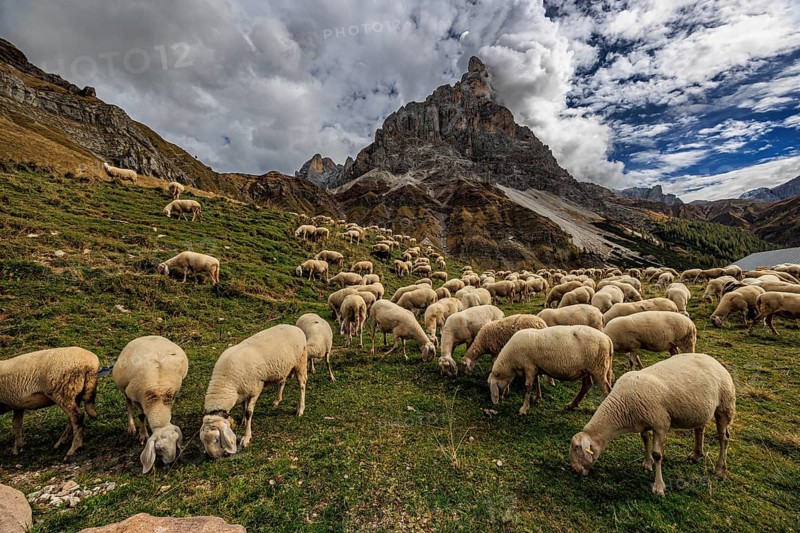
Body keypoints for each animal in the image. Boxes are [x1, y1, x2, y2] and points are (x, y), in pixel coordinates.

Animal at [112, 336, 188, 473]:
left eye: (175, 442)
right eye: (158, 449)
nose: (169, 462)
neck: (157, 399)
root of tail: (146, 337)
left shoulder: (173, 395)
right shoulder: (137, 398)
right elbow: (141, 416)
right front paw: (143, 435)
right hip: (125, 389)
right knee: (128, 405)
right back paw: (131, 427)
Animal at [200, 325, 307, 458]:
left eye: (216, 439)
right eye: (203, 441)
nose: (212, 457)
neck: (226, 382)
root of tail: (295, 327)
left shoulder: (255, 388)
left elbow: (248, 412)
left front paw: (246, 438)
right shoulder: (243, 390)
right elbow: (244, 406)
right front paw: (243, 421)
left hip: (300, 361)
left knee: (302, 385)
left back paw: (300, 409)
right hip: (283, 366)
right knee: (282, 381)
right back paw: (277, 400)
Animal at [569, 353, 735, 497]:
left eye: (577, 449)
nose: (575, 470)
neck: (622, 406)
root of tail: (712, 359)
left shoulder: (661, 424)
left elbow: (657, 455)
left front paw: (659, 487)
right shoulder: (643, 423)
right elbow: (645, 440)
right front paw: (647, 464)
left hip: (725, 407)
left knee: (724, 438)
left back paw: (720, 468)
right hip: (699, 410)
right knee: (699, 429)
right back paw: (696, 455)